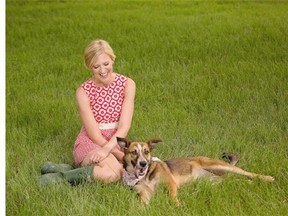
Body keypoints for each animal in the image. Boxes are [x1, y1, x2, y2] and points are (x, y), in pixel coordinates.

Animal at [116, 138, 274, 205]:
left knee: (248, 173)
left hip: (218, 165)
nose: (143, 163)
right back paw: (250, 184)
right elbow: (142, 204)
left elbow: (173, 198)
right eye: (134, 152)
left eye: (146, 152)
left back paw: (267, 178)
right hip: (216, 182)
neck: (145, 175)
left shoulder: (171, 184)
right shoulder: (144, 193)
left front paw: (178, 206)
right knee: (236, 181)